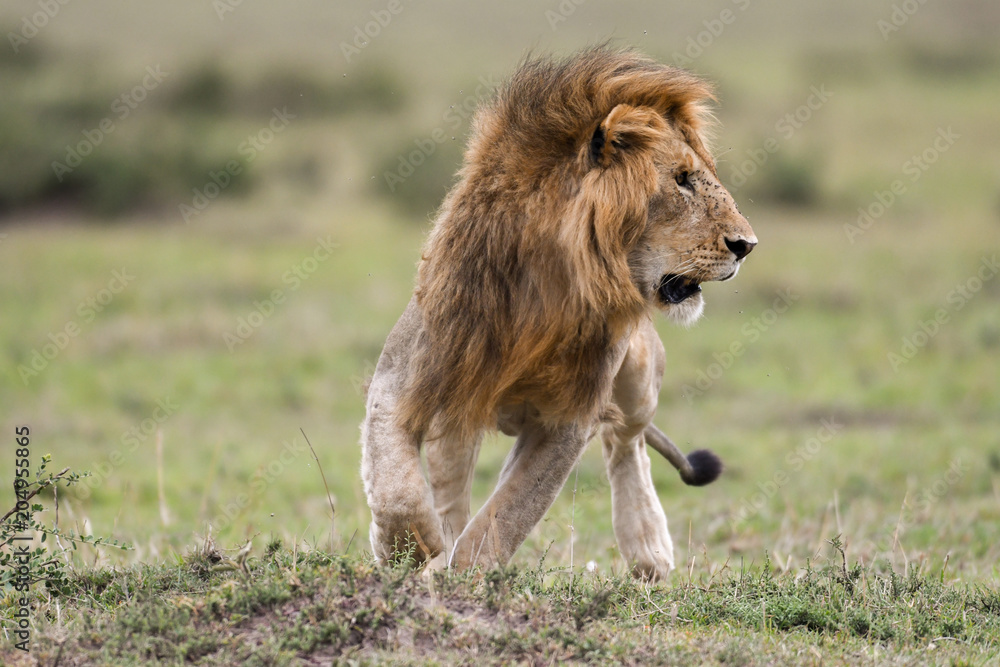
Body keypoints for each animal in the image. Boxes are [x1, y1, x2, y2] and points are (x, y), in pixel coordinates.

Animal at [361, 46, 756, 581]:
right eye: (681, 180)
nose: (747, 245)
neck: (545, 291)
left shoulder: (567, 416)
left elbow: (507, 513)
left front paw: (466, 574)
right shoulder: (406, 378)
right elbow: (396, 486)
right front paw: (407, 551)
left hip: (638, 377)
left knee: (626, 441)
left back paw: (649, 547)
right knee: (448, 472)